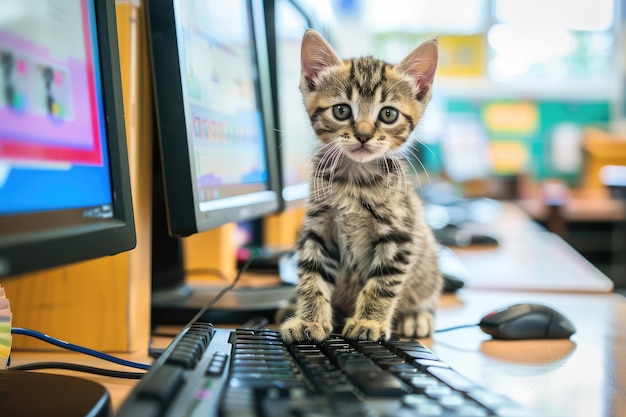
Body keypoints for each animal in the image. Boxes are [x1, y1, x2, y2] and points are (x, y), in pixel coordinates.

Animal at [280, 28, 442, 342]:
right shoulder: (319, 229)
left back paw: (416, 315)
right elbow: (311, 277)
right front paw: (309, 320)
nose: (364, 135)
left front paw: (369, 322)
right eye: (342, 110)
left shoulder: (400, 234)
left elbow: (383, 284)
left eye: (388, 114)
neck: (354, 178)